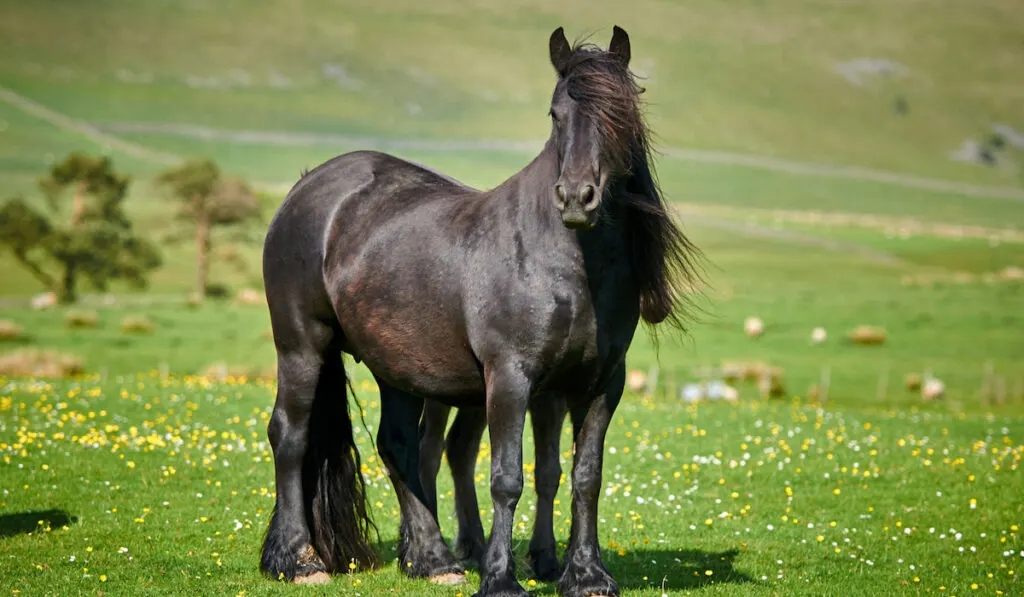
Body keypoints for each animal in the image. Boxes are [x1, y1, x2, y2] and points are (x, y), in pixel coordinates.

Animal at [260, 24, 700, 597]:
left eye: (619, 115)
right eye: (556, 113)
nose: (576, 198)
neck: (564, 262)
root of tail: (308, 185)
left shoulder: (601, 383)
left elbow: (585, 476)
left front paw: (586, 574)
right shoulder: (511, 378)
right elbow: (507, 478)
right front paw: (500, 577)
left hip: (395, 368)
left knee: (399, 446)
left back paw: (432, 560)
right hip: (301, 345)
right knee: (290, 436)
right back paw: (299, 559)